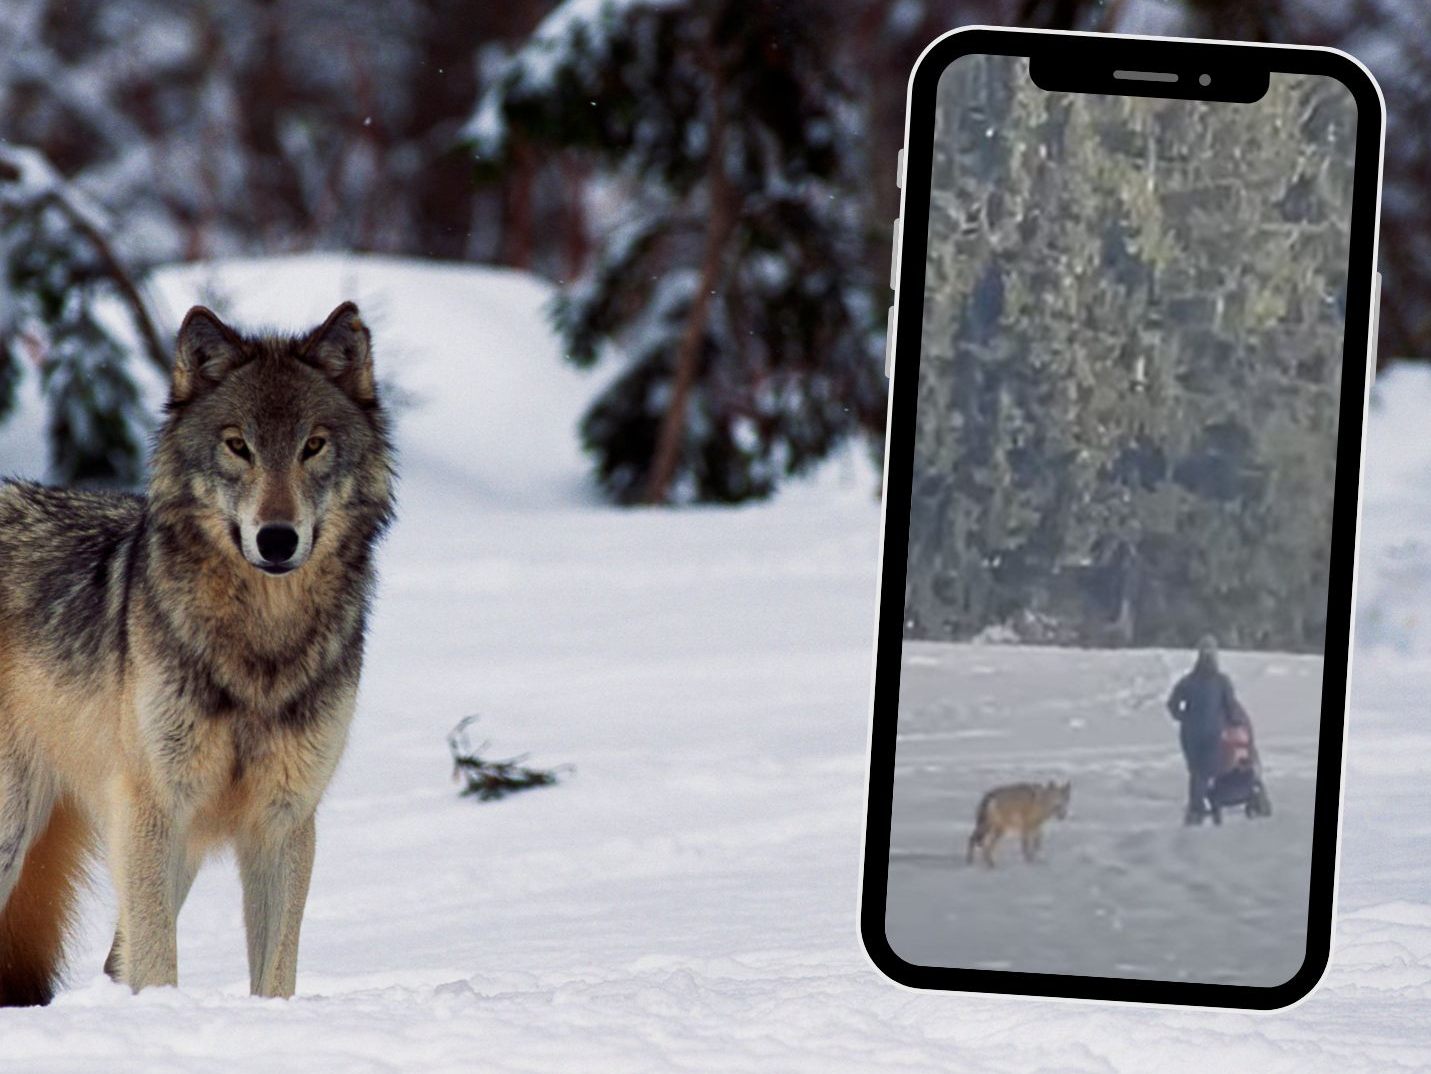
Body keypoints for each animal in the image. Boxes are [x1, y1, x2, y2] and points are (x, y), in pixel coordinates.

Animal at [0, 301, 394, 1005]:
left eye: (312, 445)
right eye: (238, 445)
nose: (276, 538)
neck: (260, 647)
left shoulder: (283, 822)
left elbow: (274, 976)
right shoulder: (154, 807)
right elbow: (157, 965)